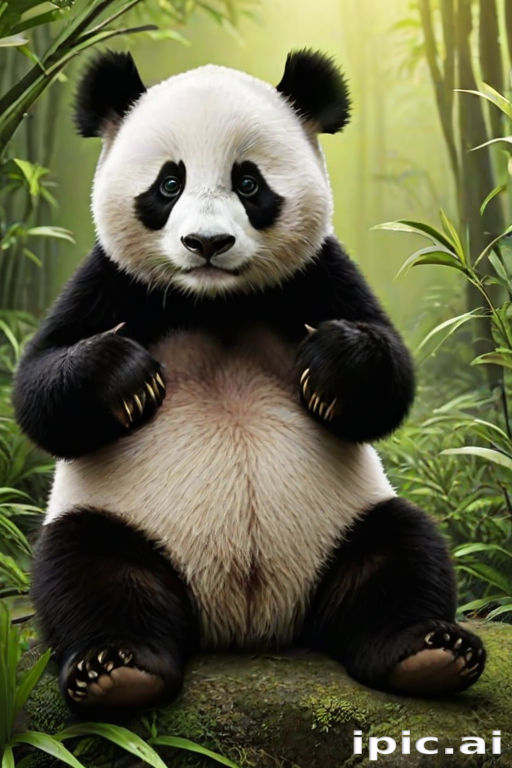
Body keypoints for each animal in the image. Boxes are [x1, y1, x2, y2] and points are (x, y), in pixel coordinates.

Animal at [13, 49, 485, 712]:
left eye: (248, 182)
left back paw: (428, 652)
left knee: (402, 552)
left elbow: (389, 378)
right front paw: (130, 380)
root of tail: (247, 623)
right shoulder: (110, 280)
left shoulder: (319, 272)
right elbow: (40, 389)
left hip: (347, 522)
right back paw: (117, 669)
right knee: (86, 570)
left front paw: (329, 366)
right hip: (120, 521)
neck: (217, 302)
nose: (207, 243)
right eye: (169, 183)